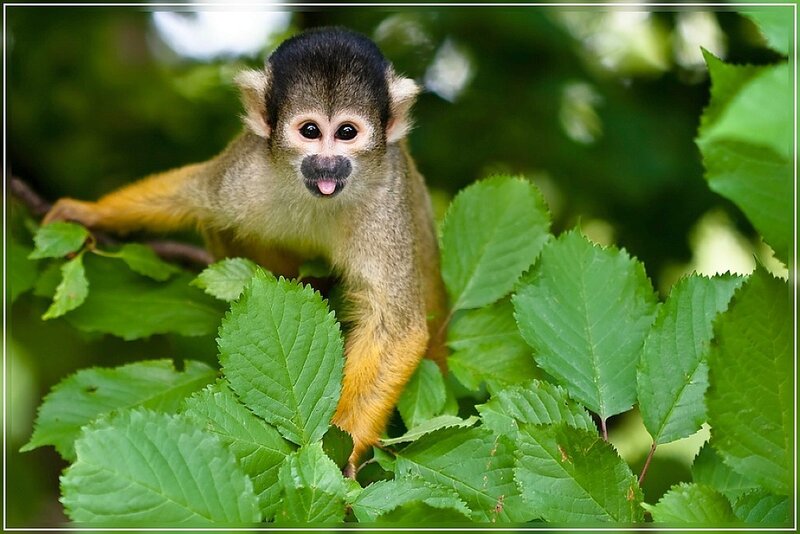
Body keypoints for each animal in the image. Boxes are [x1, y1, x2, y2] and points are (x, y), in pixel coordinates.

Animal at [43, 27, 448, 471]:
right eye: (310, 131)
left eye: (346, 133)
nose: (327, 164)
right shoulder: (249, 167)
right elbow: (192, 194)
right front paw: (90, 213)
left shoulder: (386, 197)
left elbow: (395, 327)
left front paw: (340, 453)